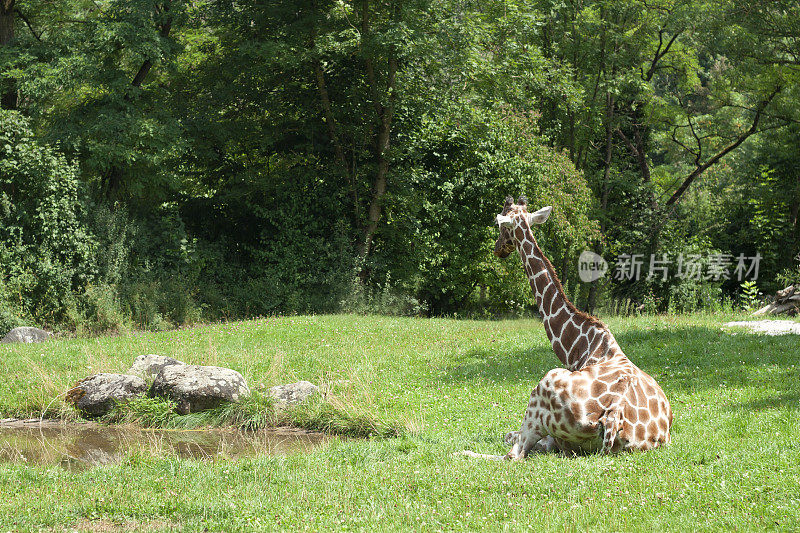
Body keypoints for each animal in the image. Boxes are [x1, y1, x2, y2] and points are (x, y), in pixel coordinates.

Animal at [494, 197, 668, 456]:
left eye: (501, 227)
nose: (497, 249)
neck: (580, 345)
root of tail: (614, 416)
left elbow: (508, 435)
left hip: (546, 386)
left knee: (514, 454)